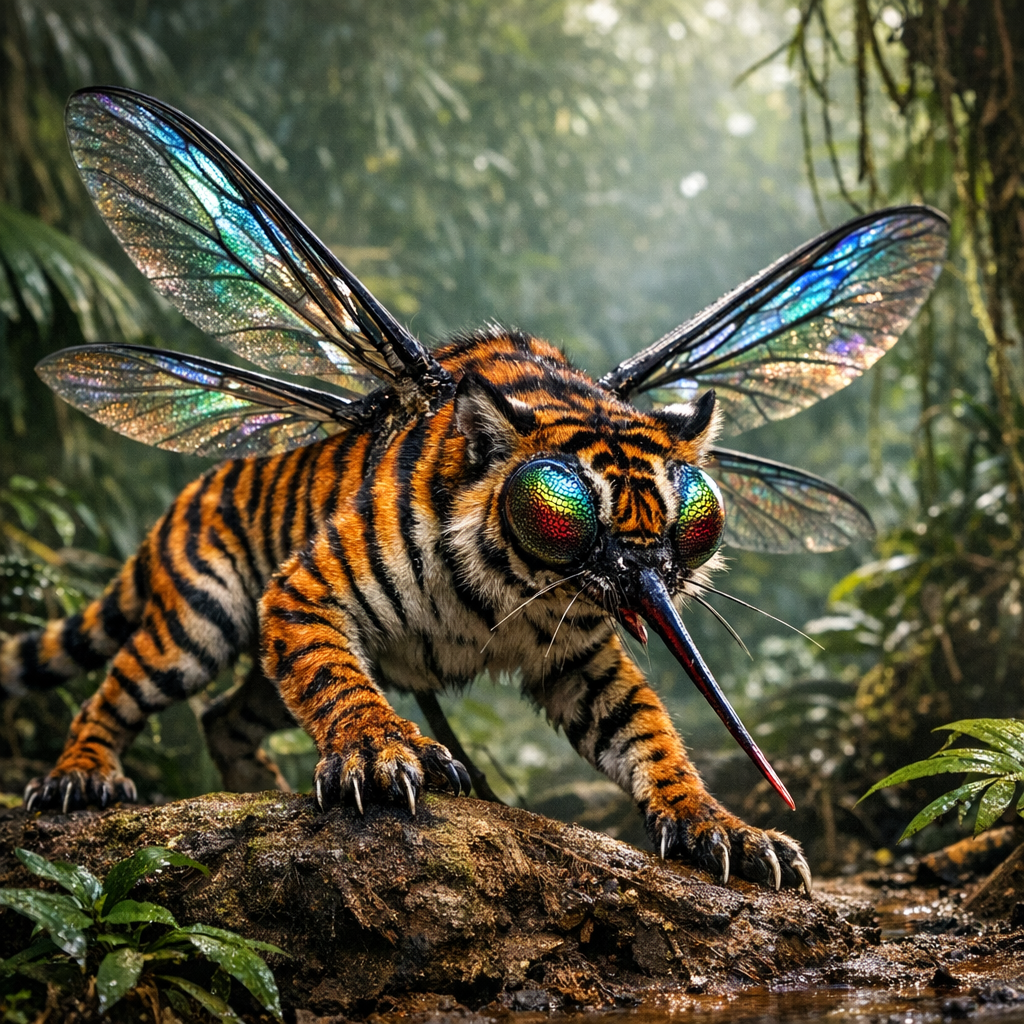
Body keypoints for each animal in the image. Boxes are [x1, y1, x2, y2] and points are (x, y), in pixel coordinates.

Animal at [1, 87, 949, 894]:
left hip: (252, 669)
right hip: (197, 620)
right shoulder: (306, 593)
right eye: (564, 513)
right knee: (117, 687)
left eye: (694, 520)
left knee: (227, 716)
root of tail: (180, 503)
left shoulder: (582, 659)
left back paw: (254, 784)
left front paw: (724, 828)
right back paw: (81, 778)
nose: (647, 577)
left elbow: (652, 735)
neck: (517, 585)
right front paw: (382, 755)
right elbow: (339, 686)